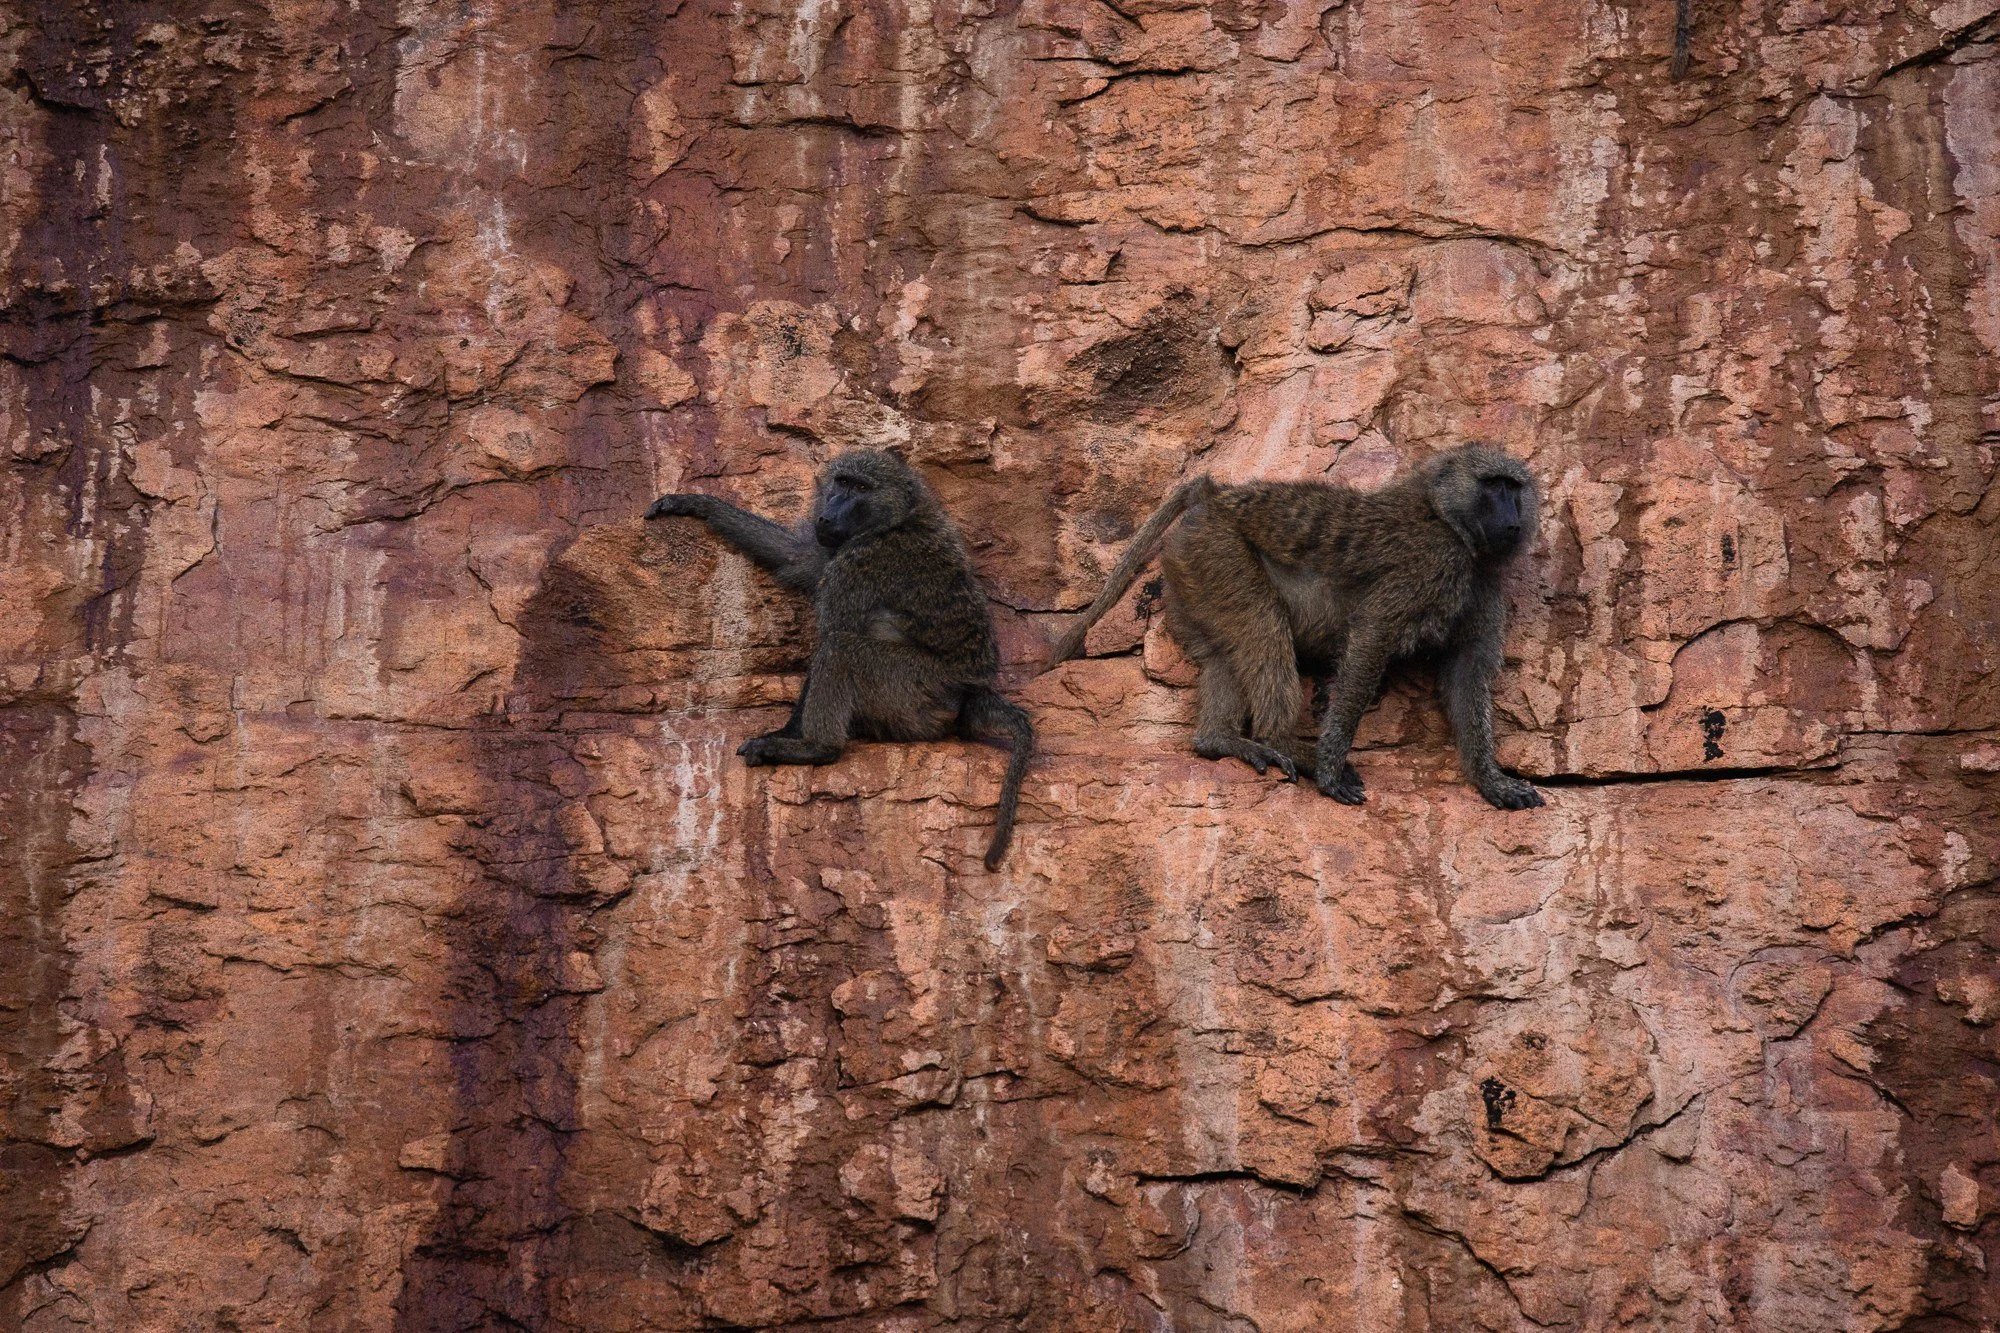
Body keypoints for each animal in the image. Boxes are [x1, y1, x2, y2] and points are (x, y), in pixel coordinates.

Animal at [646, 449, 1035, 870]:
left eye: (860, 488)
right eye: (841, 482)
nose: (829, 512)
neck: (897, 521)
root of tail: (972, 692)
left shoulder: (858, 563)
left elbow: (831, 635)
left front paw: (787, 738)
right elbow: (794, 554)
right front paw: (694, 503)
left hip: (915, 693)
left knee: (841, 650)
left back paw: (820, 747)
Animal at [1046, 444, 1544, 811]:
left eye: (1513, 487)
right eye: (1493, 485)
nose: (1511, 518)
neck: (1447, 520)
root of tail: (1212, 497)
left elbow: (1468, 669)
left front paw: (1491, 781)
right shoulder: (1433, 562)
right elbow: (1373, 635)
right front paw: (1328, 769)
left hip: (1192, 572)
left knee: (1227, 652)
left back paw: (1219, 741)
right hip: (1216, 551)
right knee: (1263, 628)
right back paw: (1281, 742)